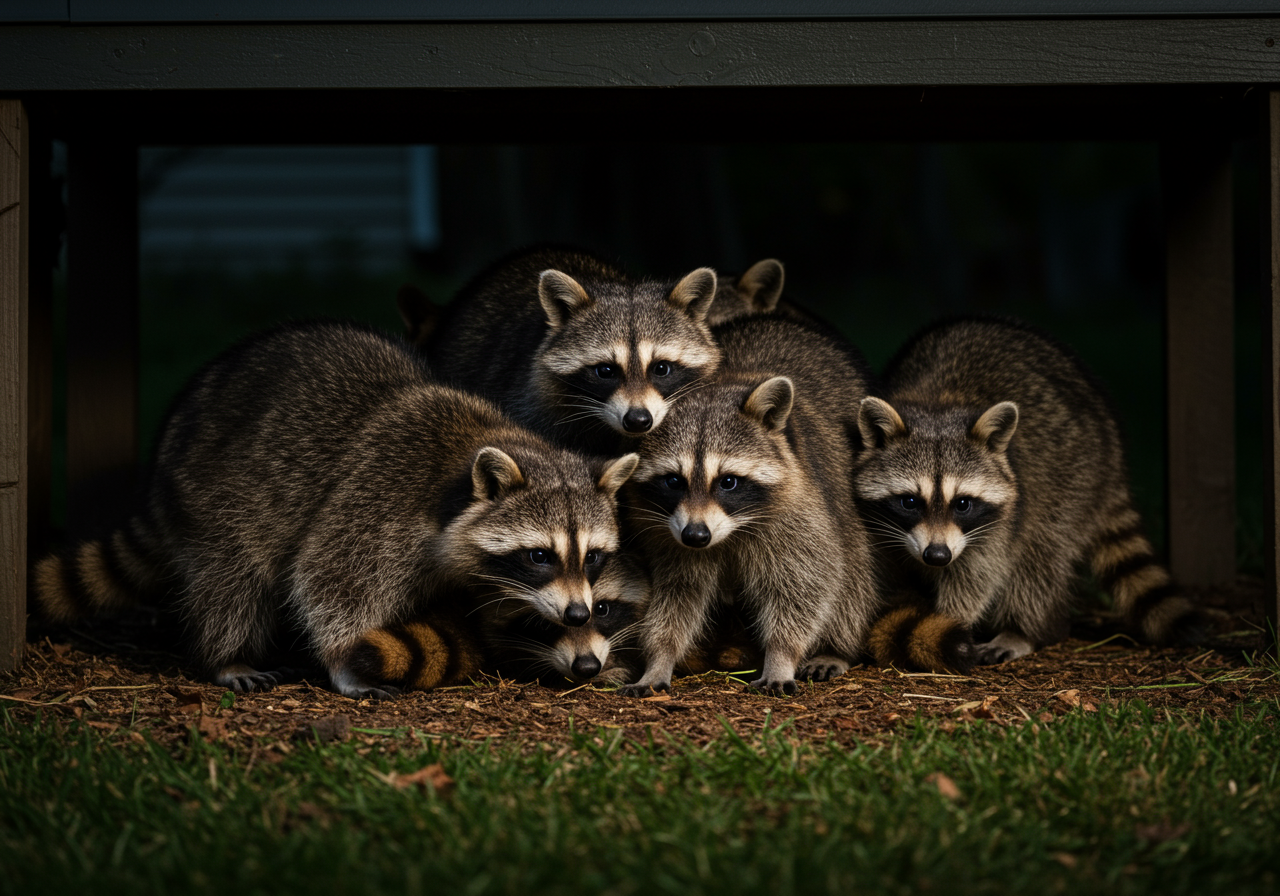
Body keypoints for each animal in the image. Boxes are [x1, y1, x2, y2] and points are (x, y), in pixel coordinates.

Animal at [620, 313, 881, 697]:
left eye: (728, 482)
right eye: (674, 481)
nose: (696, 536)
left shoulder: (799, 511)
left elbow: (805, 583)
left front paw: (781, 655)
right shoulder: (664, 532)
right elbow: (675, 594)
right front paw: (659, 658)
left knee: (854, 570)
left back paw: (837, 647)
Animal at [854, 317, 1208, 665]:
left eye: (963, 503)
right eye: (909, 502)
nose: (937, 556)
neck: (938, 405)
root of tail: (1114, 451)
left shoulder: (1002, 519)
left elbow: (978, 574)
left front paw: (949, 620)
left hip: (1074, 474)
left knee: (1041, 556)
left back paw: (1022, 630)